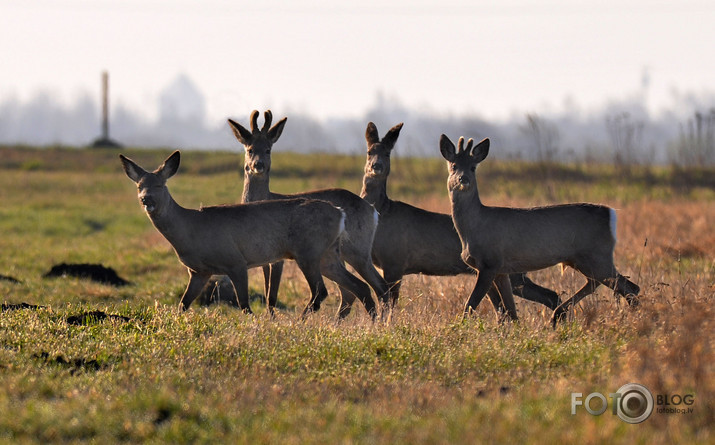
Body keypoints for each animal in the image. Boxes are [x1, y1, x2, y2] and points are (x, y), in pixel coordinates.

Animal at [119, 150, 378, 316]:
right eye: (139, 185)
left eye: (160, 184)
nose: (146, 200)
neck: (190, 229)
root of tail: (340, 213)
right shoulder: (199, 271)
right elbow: (183, 304)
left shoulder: (235, 260)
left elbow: (245, 306)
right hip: (328, 255)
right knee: (360, 288)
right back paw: (374, 323)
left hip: (309, 250)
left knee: (321, 292)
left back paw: (302, 322)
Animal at [229, 111, 388, 320]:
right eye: (249, 149)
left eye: (268, 150)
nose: (258, 165)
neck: (266, 197)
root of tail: (372, 211)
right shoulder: (264, 255)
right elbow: (266, 288)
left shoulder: (277, 257)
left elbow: (272, 293)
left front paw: (272, 319)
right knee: (356, 290)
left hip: (356, 249)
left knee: (376, 286)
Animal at [360, 121, 564, 316]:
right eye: (369, 152)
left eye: (387, 154)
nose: (376, 166)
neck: (384, 211)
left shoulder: (395, 261)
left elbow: (389, 304)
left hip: (512, 272)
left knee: (548, 296)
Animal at [440, 134, 640, 324]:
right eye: (454, 166)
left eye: (473, 167)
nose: (463, 179)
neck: (472, 229)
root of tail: (611, 214)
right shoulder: (501, 269)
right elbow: (509, 309)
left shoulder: (490, 262)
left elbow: (471, 304)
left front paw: (460, 329)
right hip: (581, 259)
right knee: (599, 283)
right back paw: (559, 314)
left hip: (598, 255)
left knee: (629, 287)